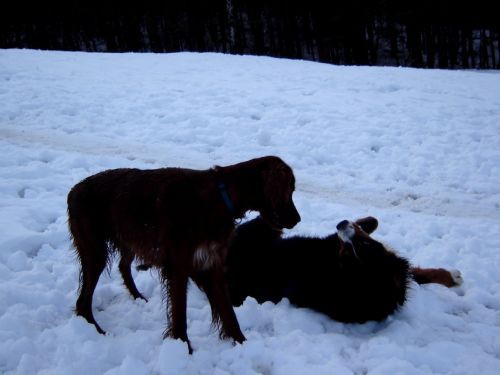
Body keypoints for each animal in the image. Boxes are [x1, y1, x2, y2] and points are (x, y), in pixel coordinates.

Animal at [67, 155, 300, 352]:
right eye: (289, 189)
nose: (298, 219)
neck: (219, 197)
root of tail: (73, 190)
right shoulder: (178, 266)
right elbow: (180, 313)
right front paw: (183, 348)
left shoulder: (211, 265)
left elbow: (228, 313)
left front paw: (242, 344)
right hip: (95, 252)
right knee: (82, 301)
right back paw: (95, 329)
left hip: (128, 240)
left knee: (123, 266)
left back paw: (138, 297)